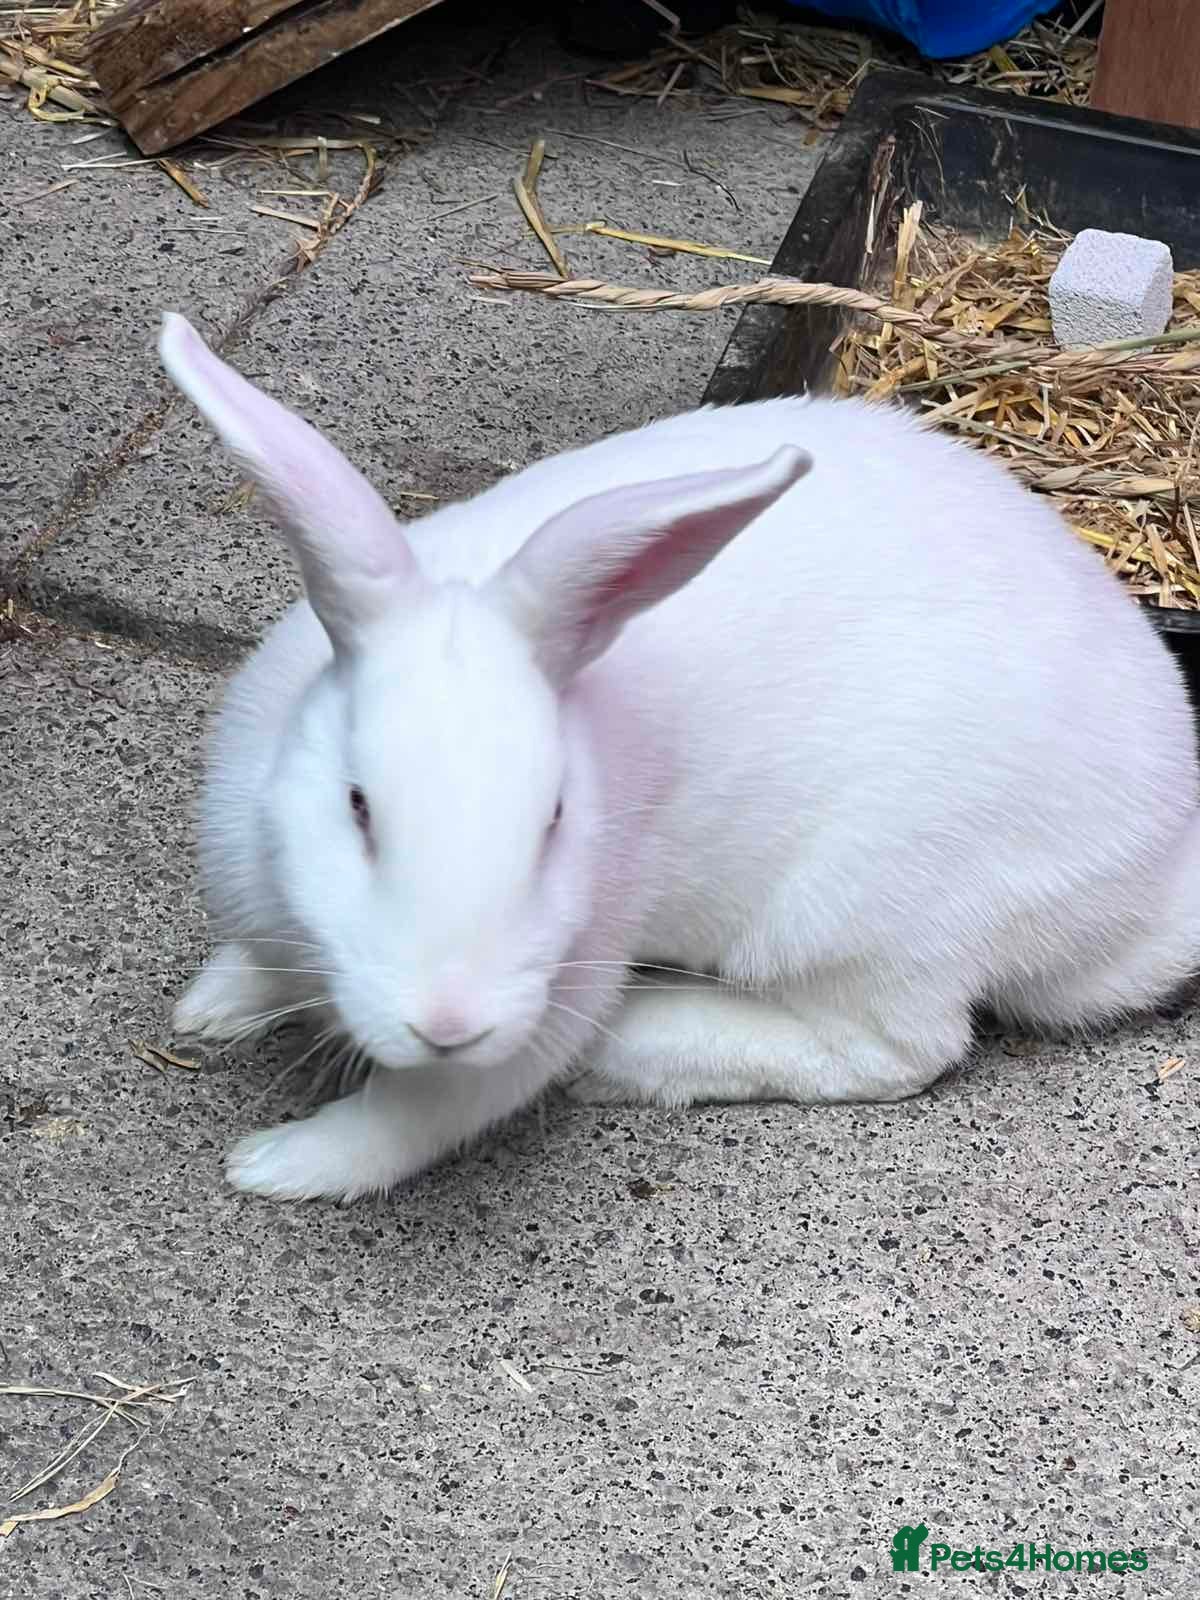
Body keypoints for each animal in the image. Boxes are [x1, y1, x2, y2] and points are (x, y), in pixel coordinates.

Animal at [161, 312, 1200, 1204]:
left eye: (555, 819)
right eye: (357, 805)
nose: (450, 1022)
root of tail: (1154, 886)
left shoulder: (557, 987)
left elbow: (418, 1115)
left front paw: (275, 1165)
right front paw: (208, 1007)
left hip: (871, 915)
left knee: (898, 1051)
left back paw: (627, 1048)